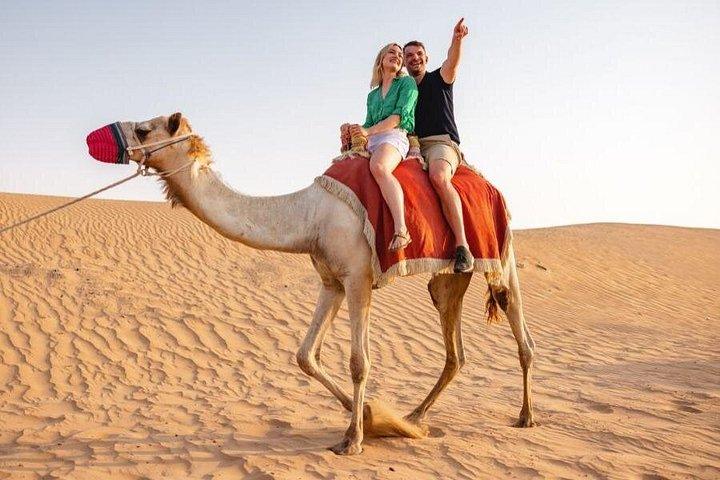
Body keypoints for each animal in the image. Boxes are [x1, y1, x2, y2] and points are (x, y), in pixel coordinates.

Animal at [123, 112, 536, 455]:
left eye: (144, 129)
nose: (124, 146)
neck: (310, 215)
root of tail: (491, 186)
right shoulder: (331, 281)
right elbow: (305, 355)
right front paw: (369, 415)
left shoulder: (358, 278)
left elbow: (359, 362)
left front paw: (353, 439)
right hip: (449, 279)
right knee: (455, 351)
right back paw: (414, 418)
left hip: (502, 252)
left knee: (519, 328)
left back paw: (525, 416)